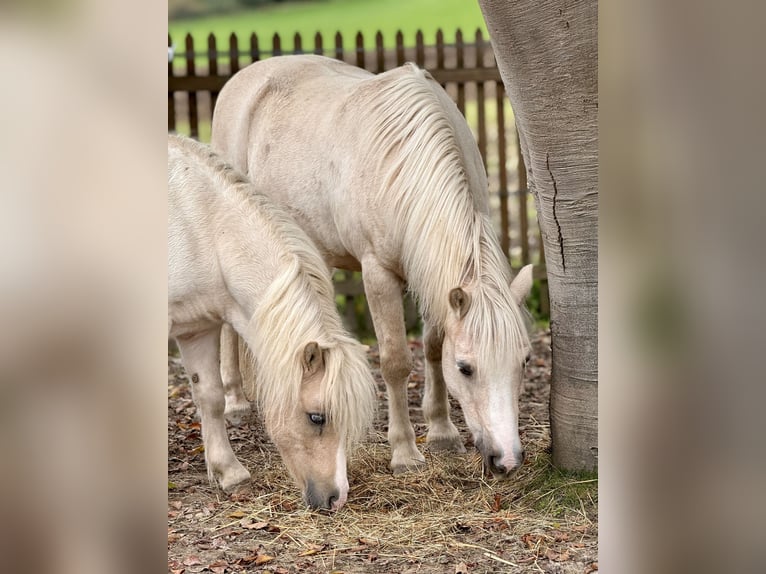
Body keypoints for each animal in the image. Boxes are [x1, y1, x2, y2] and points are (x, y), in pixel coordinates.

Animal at [166, 136, 376, 512]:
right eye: (317, 417)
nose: (337, 498)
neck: (199, 225)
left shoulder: (197, 330)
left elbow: (211, 397)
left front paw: (230, 473)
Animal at [210, 55, 536, 476]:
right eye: (466, 368)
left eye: (524, 361)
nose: (507, 459)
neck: (406, 164)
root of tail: (248, 75)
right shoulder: (378, 273)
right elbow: (396, 361)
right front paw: (405, 453)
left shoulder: (431, 276)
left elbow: (432, 347)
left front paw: (442, 433)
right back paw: (235, 401)